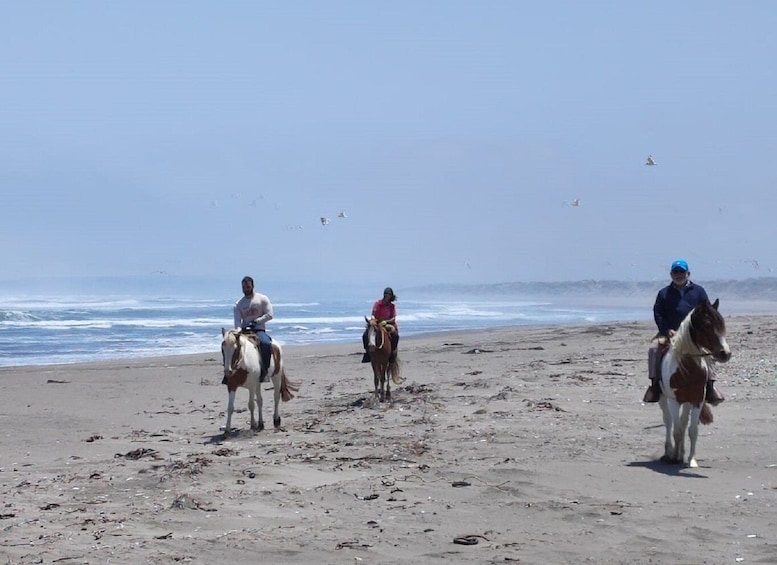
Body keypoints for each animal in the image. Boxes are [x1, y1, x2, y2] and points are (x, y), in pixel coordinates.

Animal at [656, 300, 732, 468]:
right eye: (707, 324)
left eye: (722, 324)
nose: (726, 354)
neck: (687, 369)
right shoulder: (674, 400)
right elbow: (676, 430)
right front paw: (674, 458)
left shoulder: (697, 400)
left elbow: (692, 430)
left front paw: (691, 459)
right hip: (664, 399)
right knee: (668, 422)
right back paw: (668, 452)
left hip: (687, 402)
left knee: (683, 423)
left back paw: (681, 453)